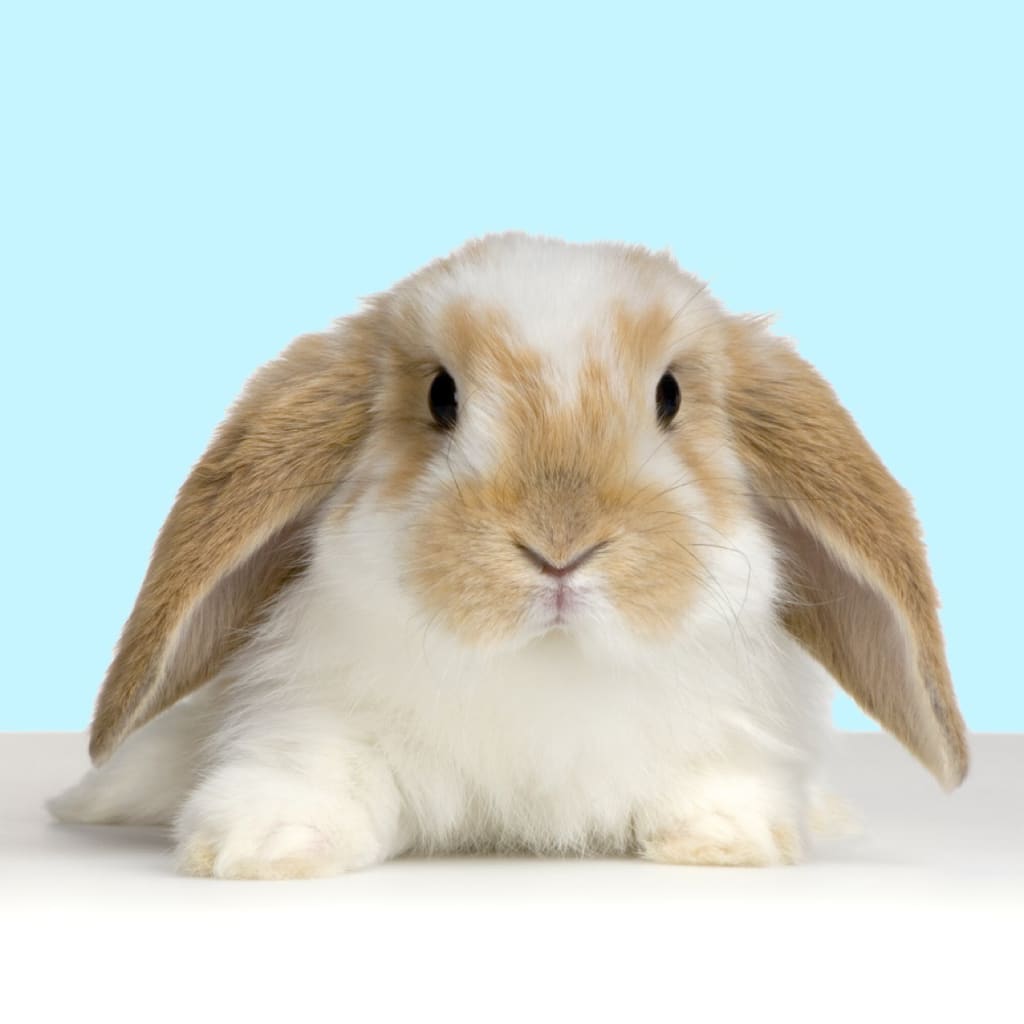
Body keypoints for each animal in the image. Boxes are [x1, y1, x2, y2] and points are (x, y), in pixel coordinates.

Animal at [48, 232, 968, 879]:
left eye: (670, 394)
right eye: (440, 395)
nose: (560, 546)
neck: (545, 666)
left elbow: (717, 784)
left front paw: (722, 839)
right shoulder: (312, 718)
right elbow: (311, 774)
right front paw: (265, 846)